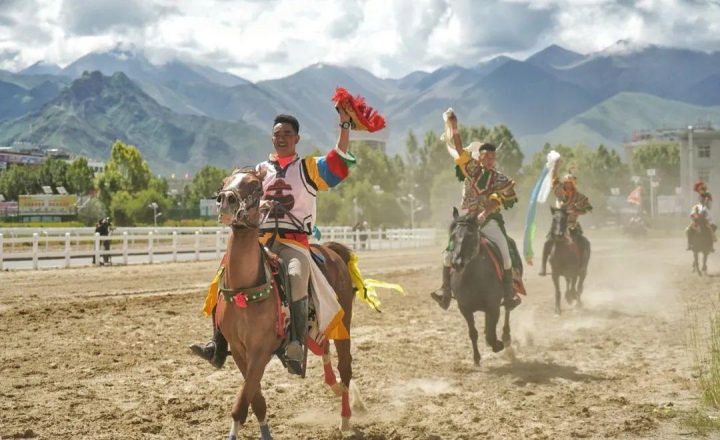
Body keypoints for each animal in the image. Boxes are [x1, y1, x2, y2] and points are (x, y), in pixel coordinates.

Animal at [215, 169, 358, 440]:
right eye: (225, 182)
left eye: (256, 186)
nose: (225, 200)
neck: (245, 290)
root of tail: (332, 252)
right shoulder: (239, 351)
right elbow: (255, 398)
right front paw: (264, 432)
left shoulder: (260, 350)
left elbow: (241, 403)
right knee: (324, 349)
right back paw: (335, 388)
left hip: (343, 321)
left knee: (345, 366)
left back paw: (345, 419)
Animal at [444, 209, 512, 364]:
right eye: (453, 235)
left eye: (470, 236)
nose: (457, 263)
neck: (473, 278)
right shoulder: (464, 308)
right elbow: (473, 333)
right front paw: (476, 358)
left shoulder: (493, 307)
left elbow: (492, 334)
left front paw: (497, 344)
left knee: (507, 309)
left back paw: (506, 337)